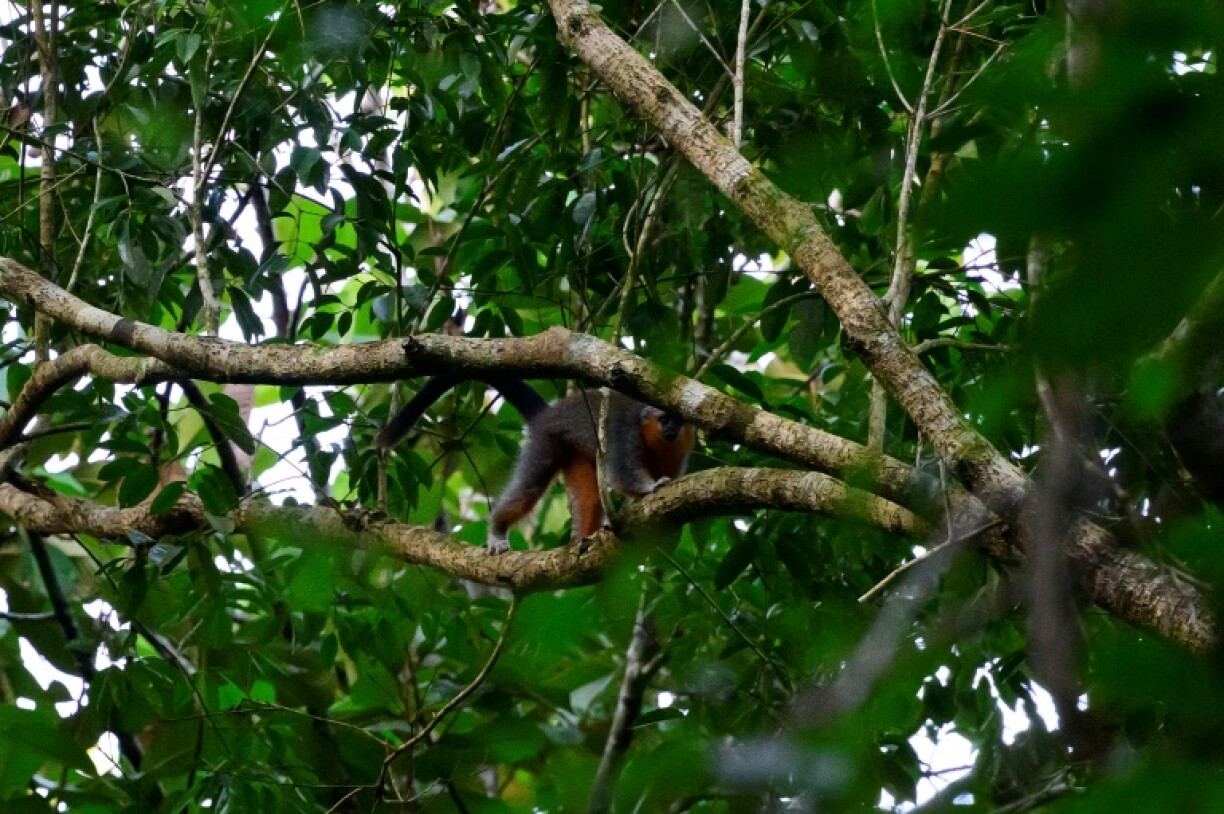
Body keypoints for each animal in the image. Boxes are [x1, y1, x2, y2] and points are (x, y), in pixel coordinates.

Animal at [375, 377, 695, 554]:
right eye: (664, 419)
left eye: (678, 420)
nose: (672, 429)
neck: (653, 438)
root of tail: (550, 414)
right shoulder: (622, 432)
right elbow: (622, 473)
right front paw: (651, 487)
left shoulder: (678, 454)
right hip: (547, 441)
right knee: (528, 489)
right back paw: (498, 528)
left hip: (574, 454)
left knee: (590, 499)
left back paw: (586, 539)